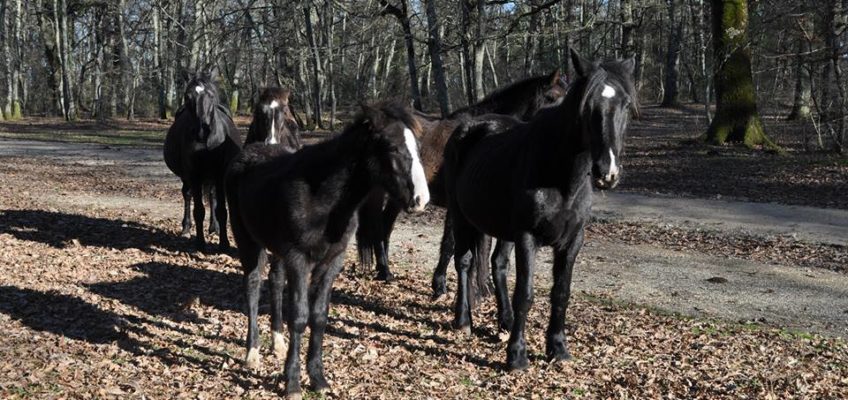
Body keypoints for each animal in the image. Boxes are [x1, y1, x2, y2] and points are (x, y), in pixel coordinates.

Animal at [164, 72, 242, 250]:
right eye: (187, 96)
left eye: (211, 95)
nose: (202, 129)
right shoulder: (194, 176)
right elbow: (199, 210)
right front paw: (200, 243)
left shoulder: (219, 175)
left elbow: (221, 210)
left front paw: (224, 243)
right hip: (188, 178)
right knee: (187, 195)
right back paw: (186, 228)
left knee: (212, 197)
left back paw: (214, 228)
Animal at [224, 102, 428, 396]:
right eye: (392, 147)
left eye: (417, 146)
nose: (421, 199)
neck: (322, 196)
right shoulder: (299, 260)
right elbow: (299, 317)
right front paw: (293, 383)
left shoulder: (332, 261)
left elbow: (319, 316)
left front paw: (318, 379)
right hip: (248, 241)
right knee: (252, 285)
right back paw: (252, 353)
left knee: (274, 281)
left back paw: (278, 342)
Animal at [354, 71, 568, 294]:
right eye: (551, 97)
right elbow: (451, 244)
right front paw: (440, 284)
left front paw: (484, 286)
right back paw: (384, 271)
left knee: (386, 226)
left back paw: (385, 270)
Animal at [444, 50, 636, 372]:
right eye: (587, 105)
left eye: (624, 104)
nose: (607, 172)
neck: (559, 176)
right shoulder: (527, 238)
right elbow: (525, 294)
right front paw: (517, 356)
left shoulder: (572, 242)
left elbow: (561, 293)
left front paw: (558, 349)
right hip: (461, 218)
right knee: (464, 262)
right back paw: (463, 320)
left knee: (497, 264)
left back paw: (505, 322)